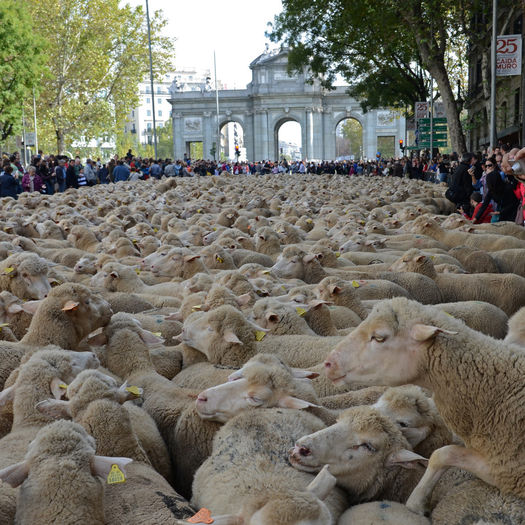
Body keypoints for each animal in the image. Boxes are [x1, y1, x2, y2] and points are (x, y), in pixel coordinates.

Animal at [324, 296, 525, 512]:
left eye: (379, 337)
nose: (328, 363)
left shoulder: (507, 471)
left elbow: (443, 454)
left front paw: (416, 502)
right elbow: (441, 453)